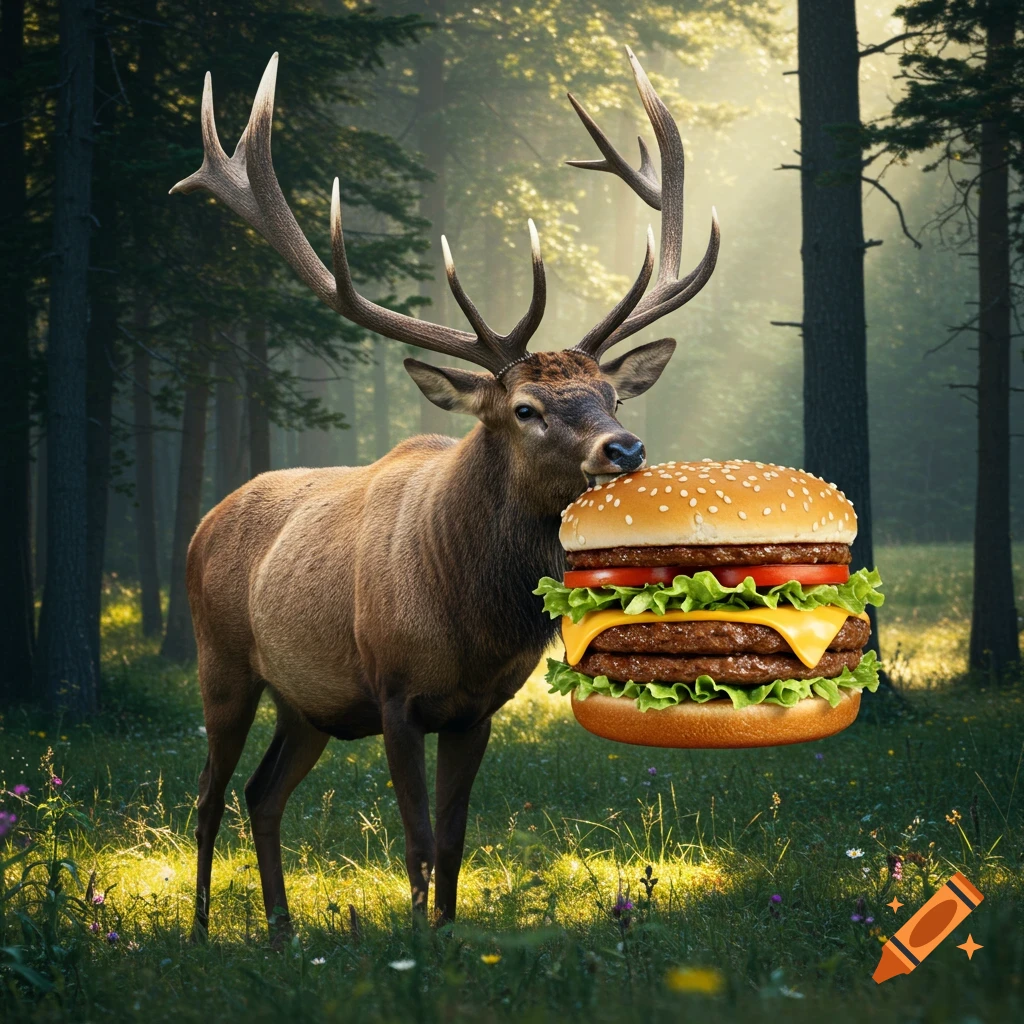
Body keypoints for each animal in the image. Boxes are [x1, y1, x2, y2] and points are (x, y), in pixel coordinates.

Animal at [170, 45, 718, 940]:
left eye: (612, 392)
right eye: (525, 408)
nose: (626, 447)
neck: (472, 618)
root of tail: (204, 522)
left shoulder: (477, 708)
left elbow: (457, 841)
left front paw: (448, 936)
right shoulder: (393, 691)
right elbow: (418, 840)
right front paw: (415, 946)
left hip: (307, 702)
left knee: (263, 793)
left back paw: (283, 929)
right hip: (222, 662)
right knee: (210, 798)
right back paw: (200, 929)